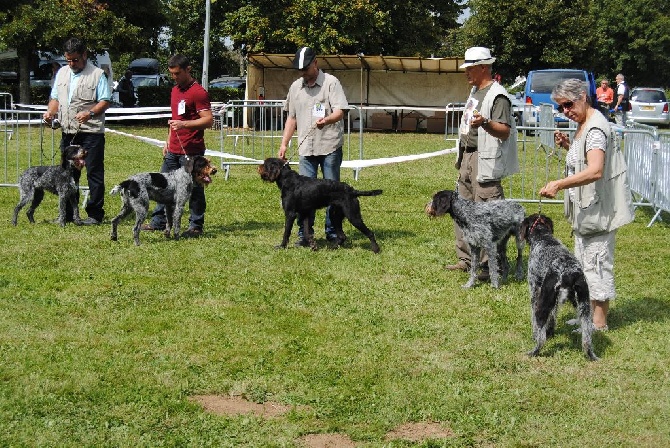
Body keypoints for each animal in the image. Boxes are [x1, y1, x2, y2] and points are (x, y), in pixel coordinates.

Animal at [524, 214, 600, 360]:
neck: (543, 237)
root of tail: (569, 273)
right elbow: (553, 316)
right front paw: (551, 331)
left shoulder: (535, 291)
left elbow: (536, 324)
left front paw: (537, 335)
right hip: (584, 306)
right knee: (587, 337)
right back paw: (591, 356)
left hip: (543, 304)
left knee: (541, 338)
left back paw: (533, 352)